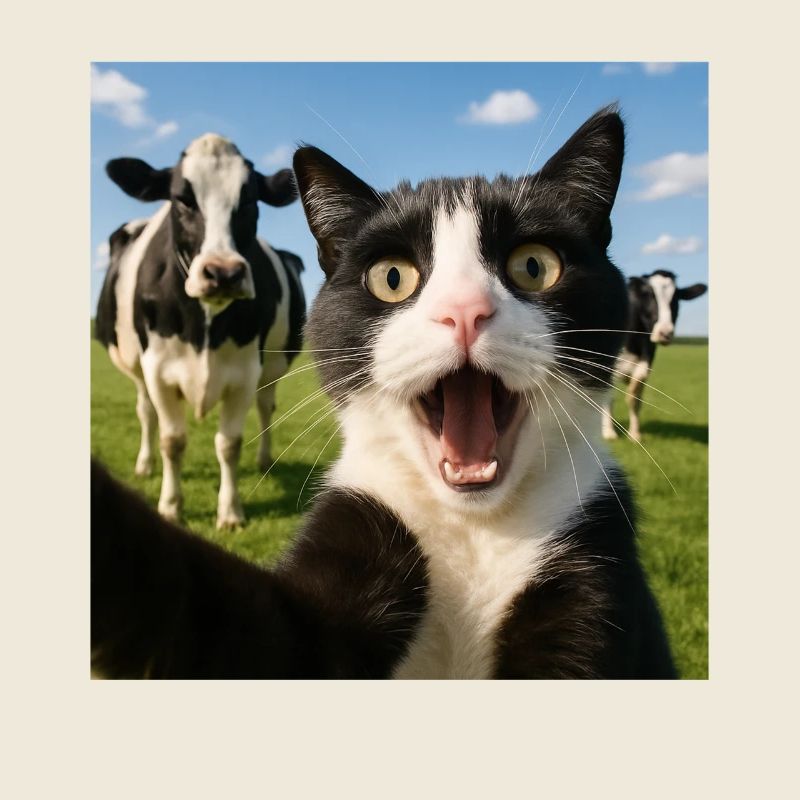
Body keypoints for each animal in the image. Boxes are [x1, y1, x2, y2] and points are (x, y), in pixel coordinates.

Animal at [94, 133, 306, 529]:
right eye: (182, 198)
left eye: (250, 199)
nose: (223, 273)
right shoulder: (158, 369)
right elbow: (172, 441)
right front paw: (171, 505)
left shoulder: (245, 372)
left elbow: (229, 444)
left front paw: (230, 512)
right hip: (136, 369)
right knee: (145, 412)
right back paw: (144, 465)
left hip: (272, 367)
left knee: (266, 407)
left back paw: (264, 460)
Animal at [601, 269, 706, 442]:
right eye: (648, 295)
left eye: (676, 298)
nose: (665, 332)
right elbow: (609, 398)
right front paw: (609, 432)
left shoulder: (646, 362)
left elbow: (634, 397)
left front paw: (635, 434)